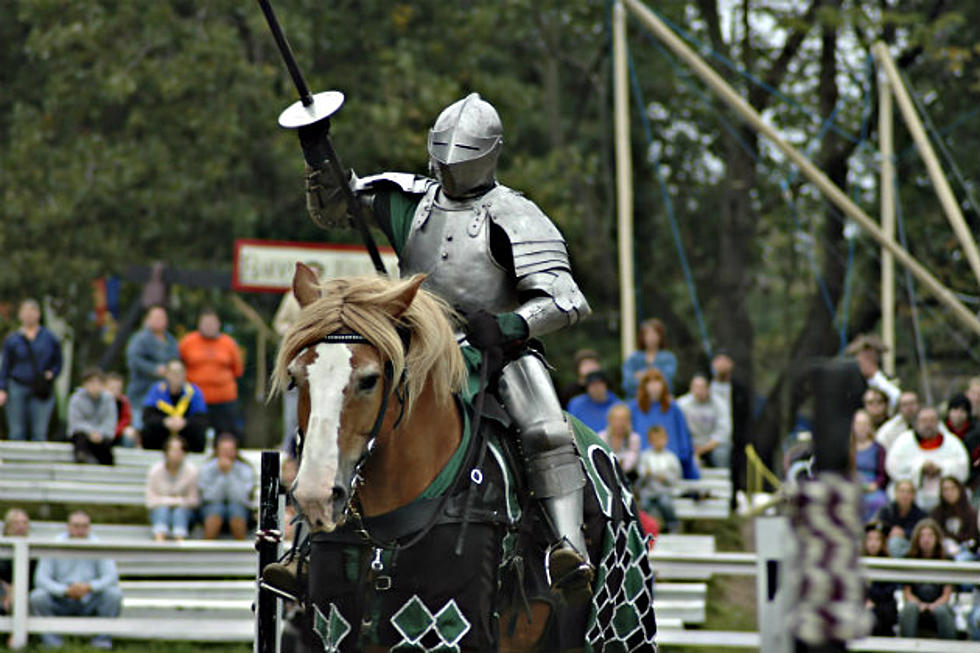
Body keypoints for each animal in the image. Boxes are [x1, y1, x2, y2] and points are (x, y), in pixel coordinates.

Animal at [276, 262, 660, 648]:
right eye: (296, 377)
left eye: (369, 380)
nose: (315, 495)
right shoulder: (335, 630)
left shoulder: (451, 630)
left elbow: (560, 293)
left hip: (620, 623)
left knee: (546, 436)